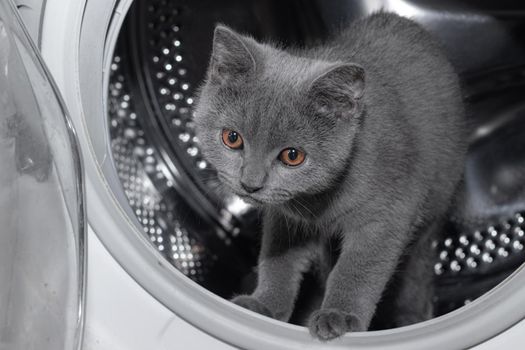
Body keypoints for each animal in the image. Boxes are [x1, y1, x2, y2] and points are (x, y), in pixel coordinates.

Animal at [191, 12, 462, 340]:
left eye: (292, 156)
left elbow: (357, 268)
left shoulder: (388, 215)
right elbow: (277, 260)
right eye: (232, 138)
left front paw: (340, 315)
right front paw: (264, 304)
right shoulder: (285, 218)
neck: (317, 202)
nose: (250, 184)